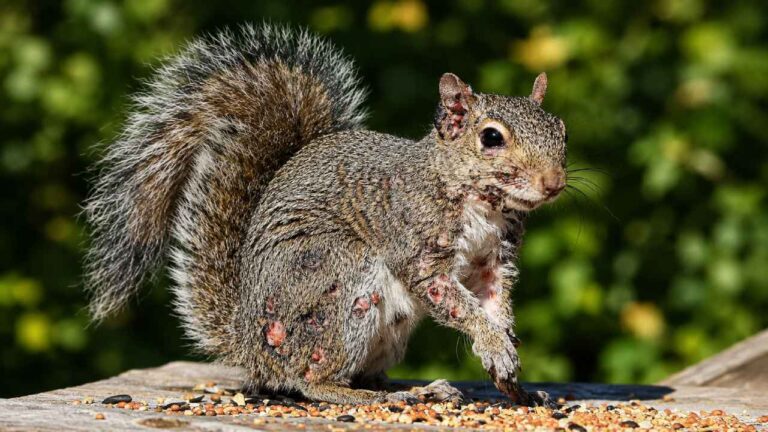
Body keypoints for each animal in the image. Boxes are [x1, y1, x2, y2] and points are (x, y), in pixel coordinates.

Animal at [84, 24, 567, 407]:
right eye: (491, 138)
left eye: (561, 129)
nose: (554, 183)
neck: (483, 205)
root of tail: (249, 345)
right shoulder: (416, 244)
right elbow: (455, 301)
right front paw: (494, 344)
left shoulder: (493, 261)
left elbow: (495, 302)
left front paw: (510, 367)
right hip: (337, 280)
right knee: (310, 379)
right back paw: (367, 395)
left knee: (361, 376)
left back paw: (417, 390)